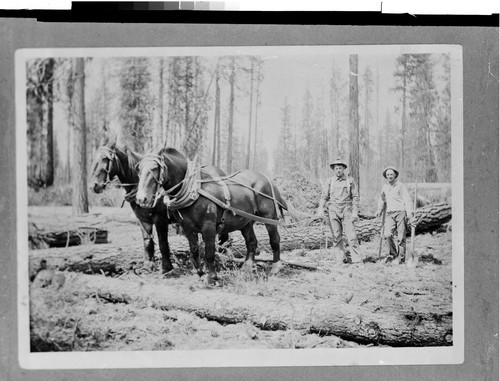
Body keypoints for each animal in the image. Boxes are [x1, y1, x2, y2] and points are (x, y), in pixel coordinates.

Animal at [136, 147, 290, 284]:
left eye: (155, 168)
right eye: (139, 169)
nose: (141, 199)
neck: (195, 191)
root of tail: (266, 179)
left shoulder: (208, 226)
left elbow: (209, 251)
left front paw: (211, 277)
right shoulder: (187, 228)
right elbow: (194, 251)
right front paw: (199, 274)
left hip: (269, 217)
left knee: (275, 239)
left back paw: (275, 267)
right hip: (246, 221)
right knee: (251, 242)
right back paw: (246, 268)